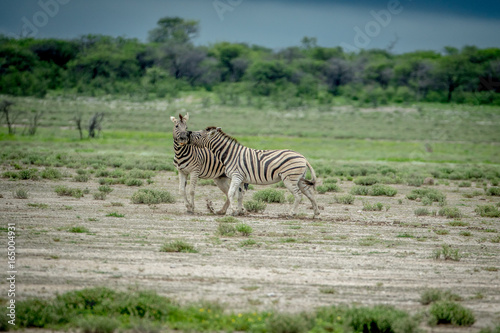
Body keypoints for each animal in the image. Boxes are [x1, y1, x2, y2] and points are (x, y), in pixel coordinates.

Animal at [172, 114, 320, 218]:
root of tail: (303, 157)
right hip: (299, 179)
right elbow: (239, 195)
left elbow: (231, 193)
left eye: (198, 134)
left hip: (289, 178)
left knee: (298, 195)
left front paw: (233, 211)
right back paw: (316, 214)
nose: (186, 134)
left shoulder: (236, 176)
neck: (229, 154)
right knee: (310, 194)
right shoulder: (242, 179)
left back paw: (291, 213)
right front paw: (239, 211)